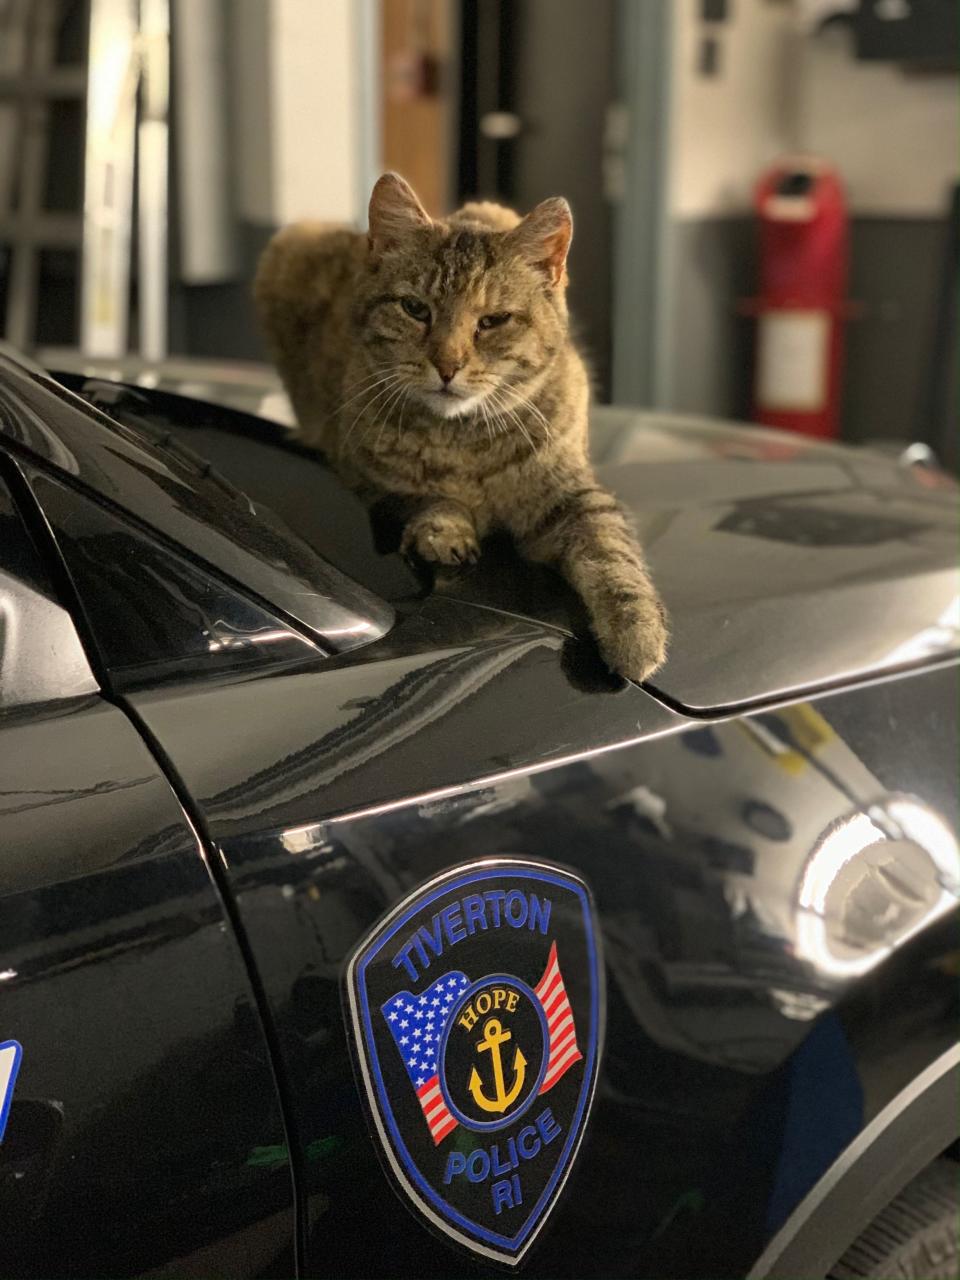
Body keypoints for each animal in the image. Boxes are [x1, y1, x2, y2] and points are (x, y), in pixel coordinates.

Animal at [253, 177, 670, 691]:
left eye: (492, 321)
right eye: (415, 309)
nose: (447, 366)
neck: (463, 441)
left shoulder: (572, 494)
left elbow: (612, 548)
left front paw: (637, 631)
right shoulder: (363, 473)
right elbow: (428, 496)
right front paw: (446, 527)